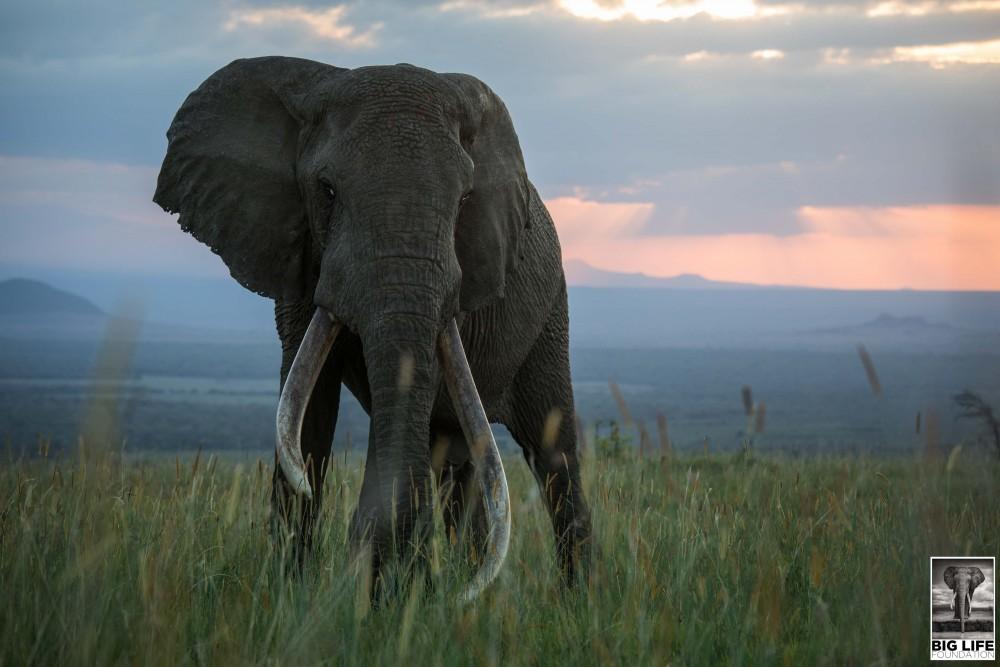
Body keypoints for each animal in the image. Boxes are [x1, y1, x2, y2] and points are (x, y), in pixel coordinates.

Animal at [153, 57, 592, 600]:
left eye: (465, 200)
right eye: (327, 190)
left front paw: (386, 590)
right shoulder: (301, 262)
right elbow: (309, 413)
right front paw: (294, 595)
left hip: (550, 313)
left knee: (553, 455)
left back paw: (573, 602)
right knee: (461, 463)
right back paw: (470, 598)